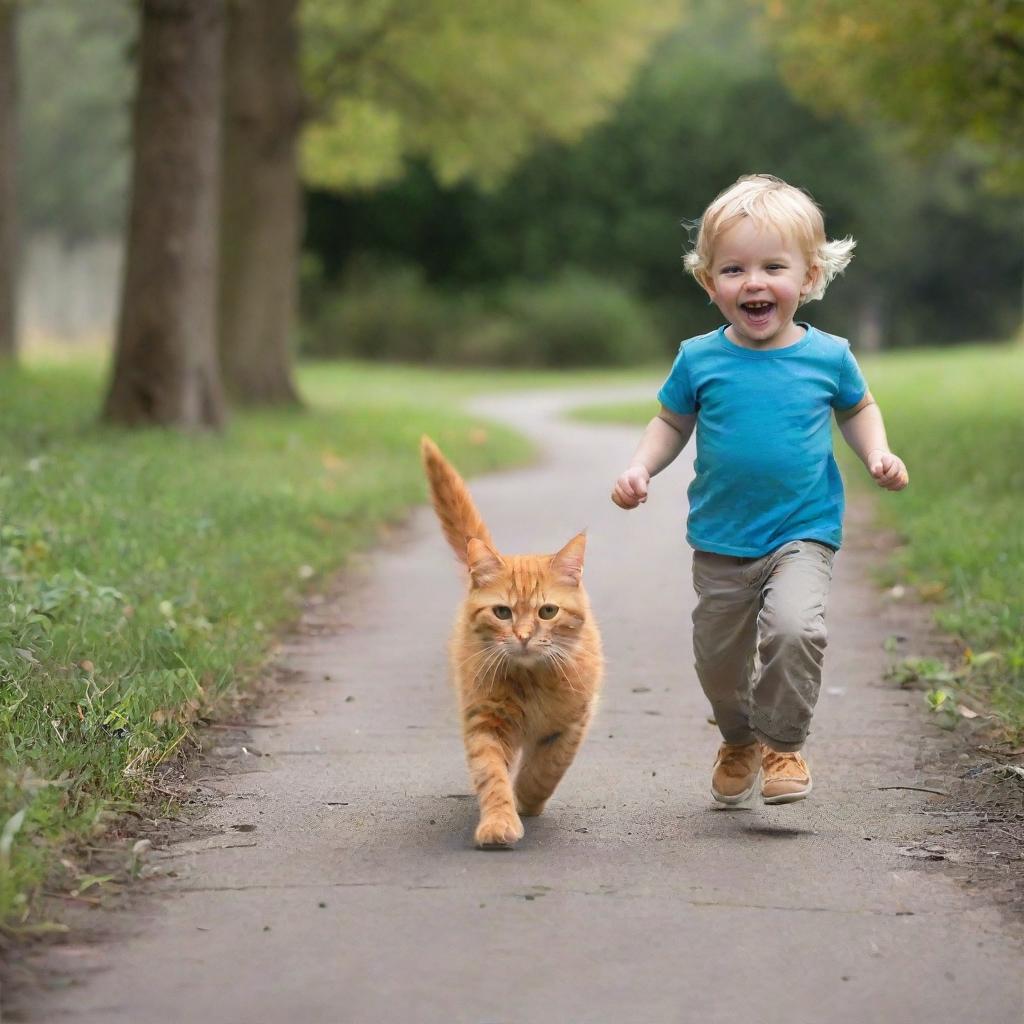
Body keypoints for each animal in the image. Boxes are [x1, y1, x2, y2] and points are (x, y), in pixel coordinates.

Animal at [419, 438, 602, 847]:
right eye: (502, 613)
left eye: (547, 611)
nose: (523, 635)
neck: (531, 681)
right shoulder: (485, 721)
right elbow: (492, 775)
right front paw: (500, 821)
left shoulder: (571, 724)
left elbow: (546, 768)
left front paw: (527, 800)